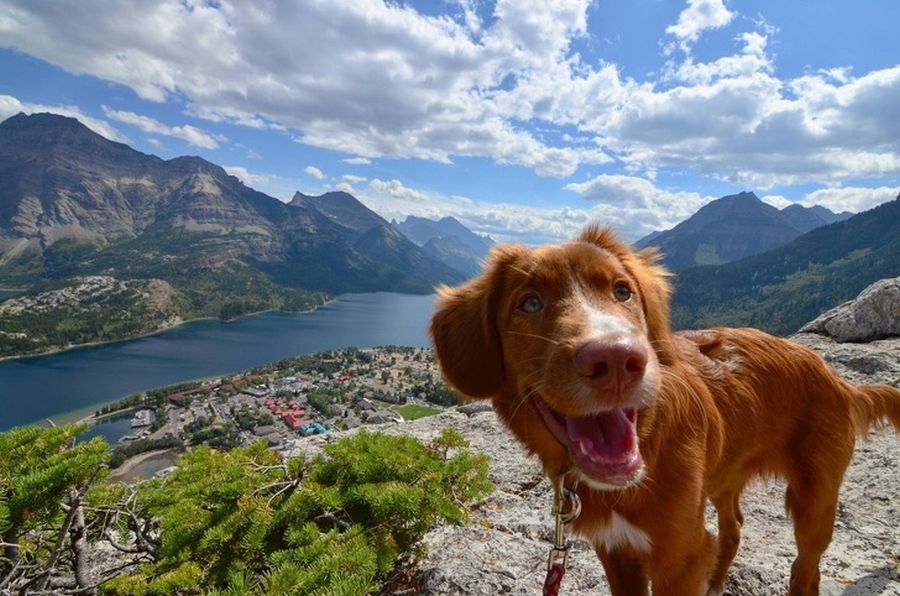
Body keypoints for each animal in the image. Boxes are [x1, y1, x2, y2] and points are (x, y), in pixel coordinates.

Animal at [430, 226, 900, 592]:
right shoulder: (617, 551)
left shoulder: (681, 555)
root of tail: (837, 378)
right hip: (725, 476)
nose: (616, 360)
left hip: (814, 500)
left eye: (623, 291)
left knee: (806, 570)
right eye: (529, 303)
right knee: (732, 529)